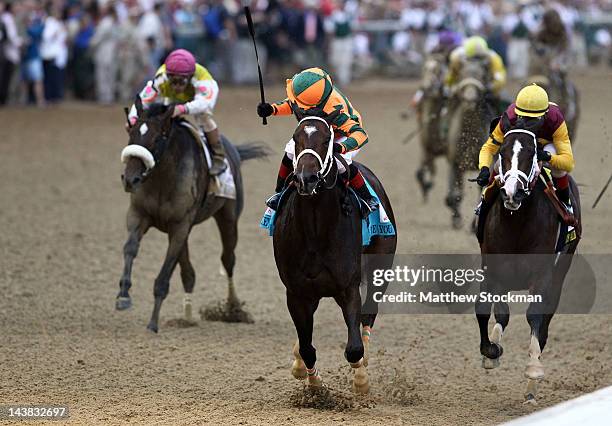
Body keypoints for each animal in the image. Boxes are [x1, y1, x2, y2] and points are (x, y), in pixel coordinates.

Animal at [117, 100, 266, 332]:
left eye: (157, 138)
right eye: (131, 133)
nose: (131, 179)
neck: (161, 180)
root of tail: (234, 151)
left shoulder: (180, 225)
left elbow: (164, 276)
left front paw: (153, 323)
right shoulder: (139, 215)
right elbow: (130, 248)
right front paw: (123, 294)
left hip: (228, 218)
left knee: (228, 260)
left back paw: (233, 309)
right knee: (189, 274)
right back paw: (186, 317)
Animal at [272, 112, 396, 392]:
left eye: (327, 138)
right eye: (296, 137)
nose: (306, 178)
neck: (316, 231)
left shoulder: (348, 288)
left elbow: (354, 348)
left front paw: (360, 379)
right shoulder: (296, 292)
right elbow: (307, 347)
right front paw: (314, 384)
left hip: (381, 267)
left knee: (368, 315)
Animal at [478, 125, 580, 402]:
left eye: (532, 154)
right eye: (502, 153)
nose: (512, 192)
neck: (517, 222)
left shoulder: (543, 276)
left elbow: (535, 316)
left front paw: (533, 369)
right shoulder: (493, 270)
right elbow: (490, 311)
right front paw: (491, 352)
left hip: (560, 274)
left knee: (544, 326)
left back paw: (531, 389)